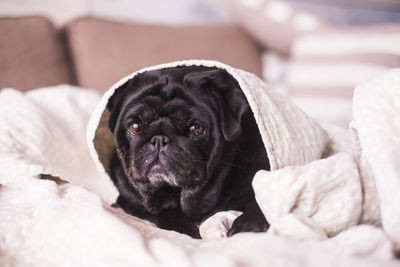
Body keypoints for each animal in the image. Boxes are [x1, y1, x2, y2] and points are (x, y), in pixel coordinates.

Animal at [106, 66, 270, 239]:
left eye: (196, 129)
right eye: (135, 127)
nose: (159, 139)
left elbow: (263, 201)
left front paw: (249, 225)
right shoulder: (129, 200)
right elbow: (162, 211)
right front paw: (183, 227)